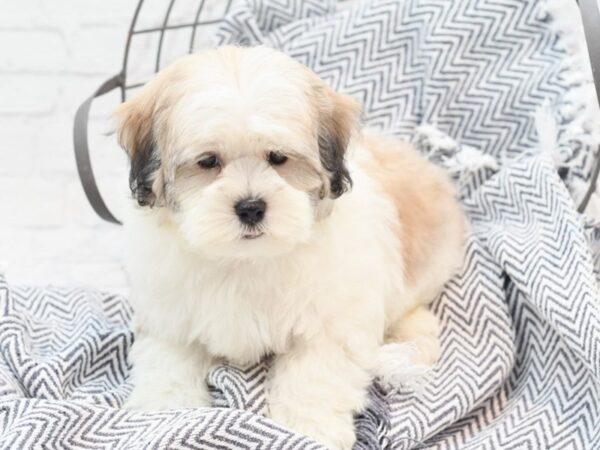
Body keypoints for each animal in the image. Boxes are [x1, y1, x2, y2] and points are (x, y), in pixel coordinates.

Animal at [116, 44, 464, 448]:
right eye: (208, 161)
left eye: (278, 158)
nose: (251, 207)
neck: (244, 259)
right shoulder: (168, 312)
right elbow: (167, 360)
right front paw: (163, 410)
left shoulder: (331, 322)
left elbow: (314, 376)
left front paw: (310, 429)